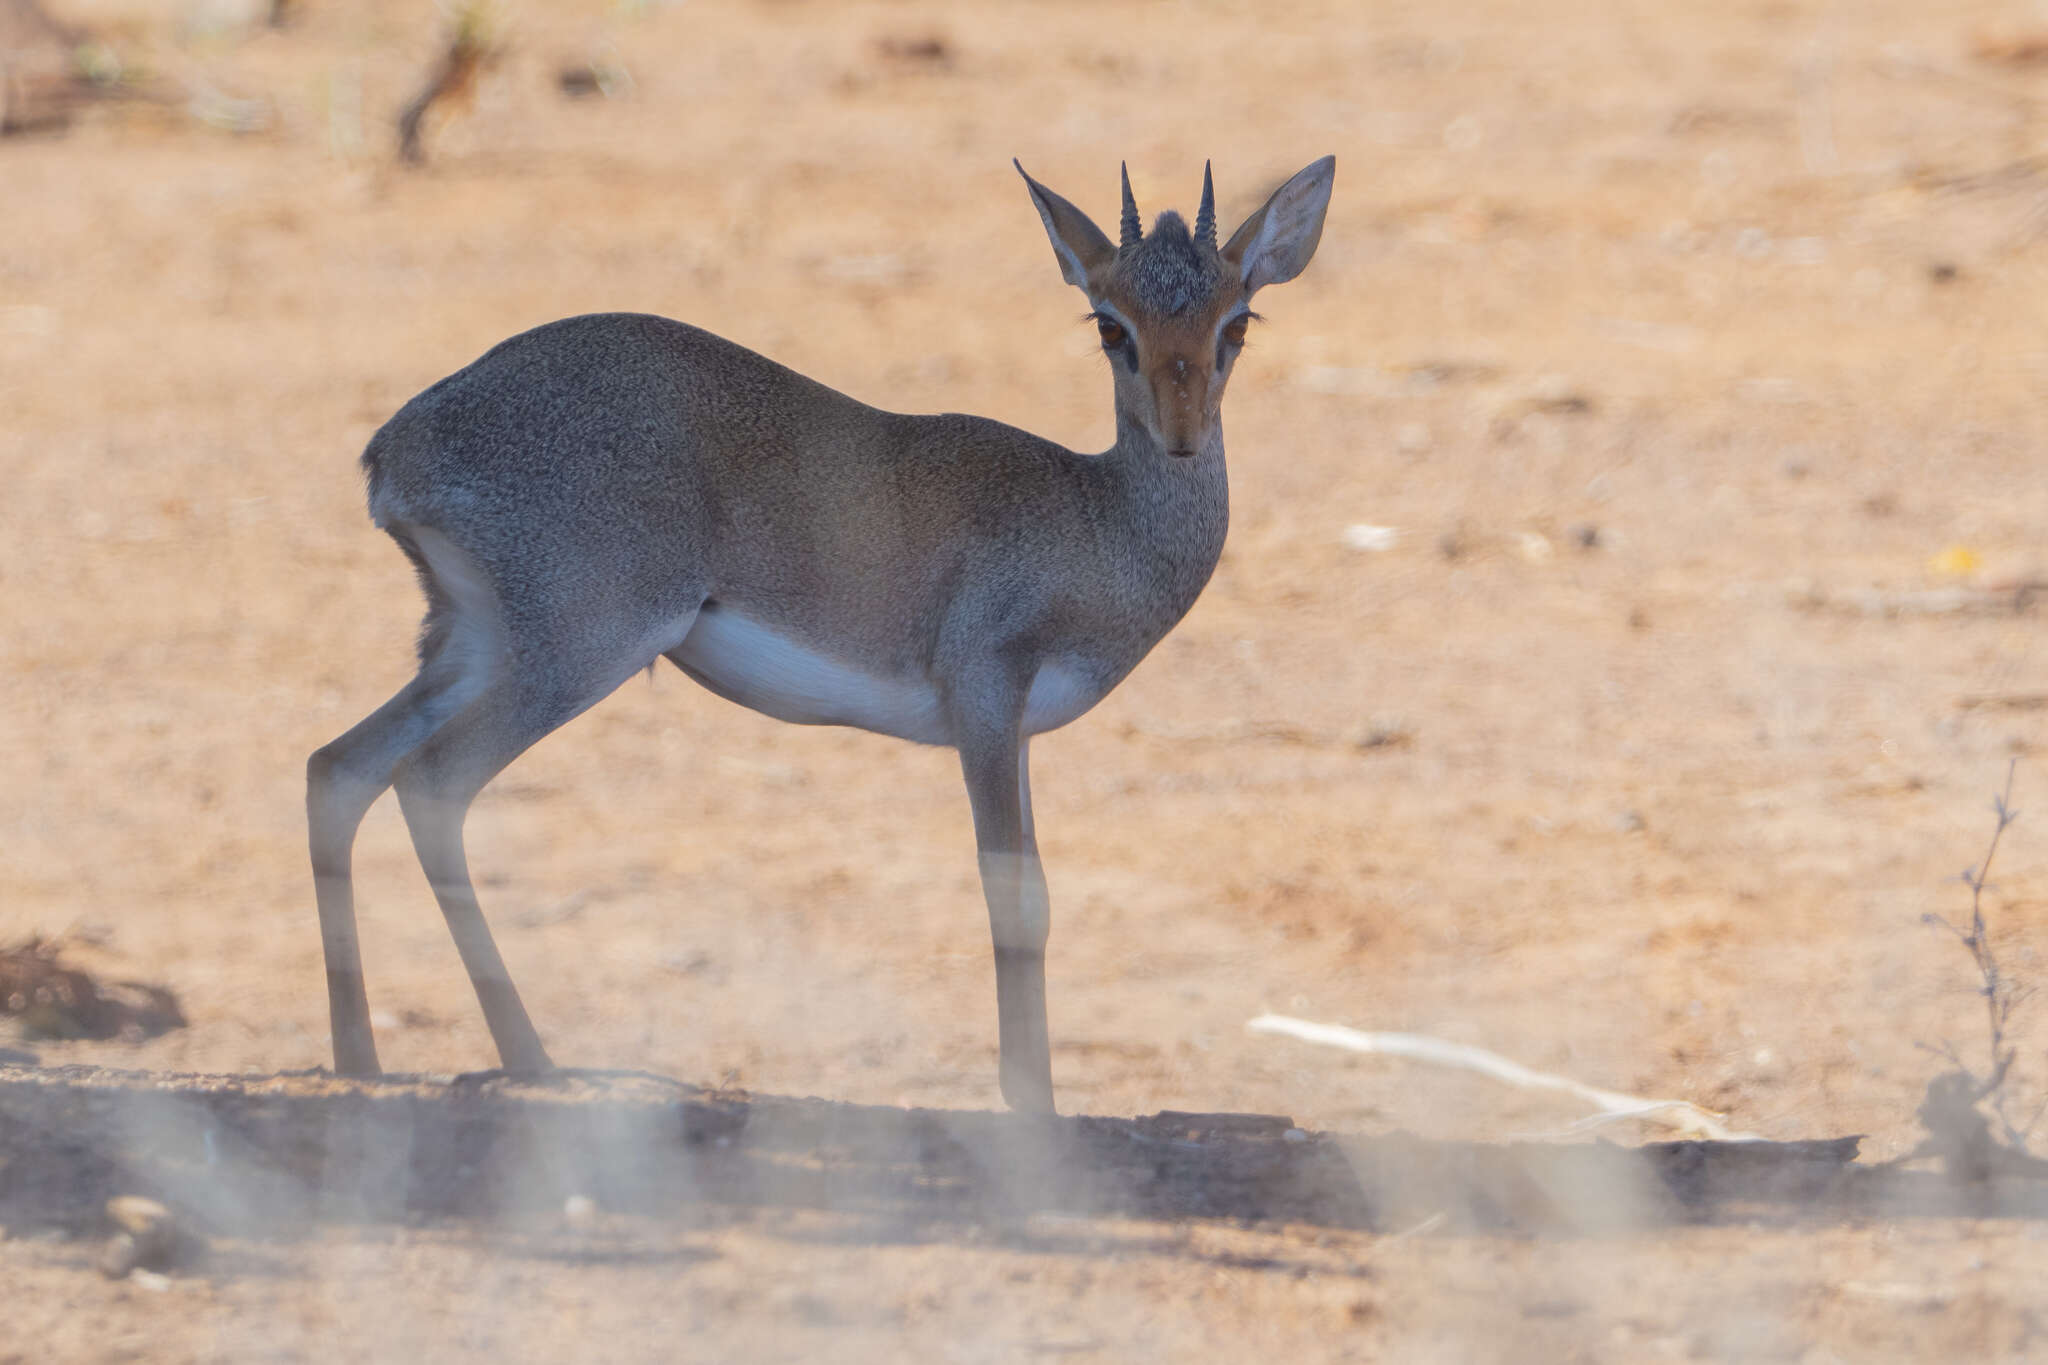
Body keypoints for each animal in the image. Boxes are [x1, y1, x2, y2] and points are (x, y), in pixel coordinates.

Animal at [303, 157, 1327, 1113]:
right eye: (1110, 324)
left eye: (1238, 321)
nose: (1182, 433)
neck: (1094, 514)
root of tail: (398, 448)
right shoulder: (985, 702)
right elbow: (1015, 897)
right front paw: (1029, 1098)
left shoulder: (1016, 732)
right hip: (580, 648)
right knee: (430, 781)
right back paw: (535, 1061)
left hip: (469, 644)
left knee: (339, 766)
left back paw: (361, 1059)